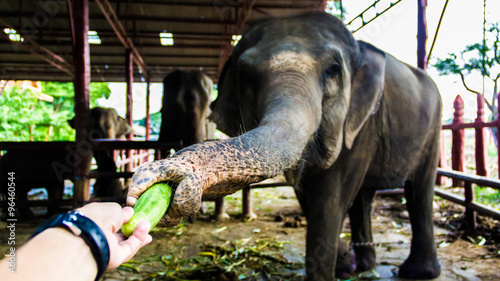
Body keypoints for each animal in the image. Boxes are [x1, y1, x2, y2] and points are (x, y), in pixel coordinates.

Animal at [128, 11, 442, 280]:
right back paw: (361, 266)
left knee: (419, 189)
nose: (172, 174)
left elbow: (331, 196)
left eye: (333, 70)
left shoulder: (362, 123)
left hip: (434, 126)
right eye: (246, 76)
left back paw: (417, 272)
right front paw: (340, 262)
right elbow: (310, 192)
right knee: (365, 195)